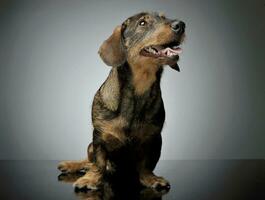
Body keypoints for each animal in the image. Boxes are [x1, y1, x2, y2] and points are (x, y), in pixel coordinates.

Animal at [58, 11, 185, 191]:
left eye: (164, 17)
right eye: (142, 23)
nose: (180, 25)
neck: (139, 89)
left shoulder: (154, 138)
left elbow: (146, 164)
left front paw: (150, 178)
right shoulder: (99, 138)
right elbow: (98, 162)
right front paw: (91, 179)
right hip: (90, 146)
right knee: (89, 161)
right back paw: (72, 165)